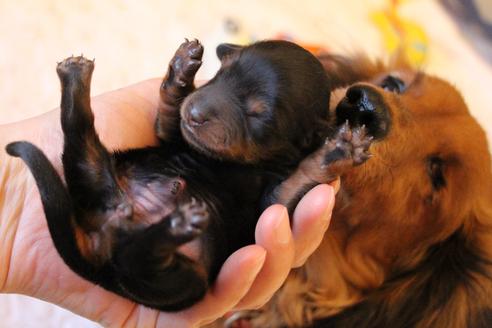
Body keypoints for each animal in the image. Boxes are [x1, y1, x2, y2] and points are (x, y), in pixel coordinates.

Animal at [4, 40, 376, 310]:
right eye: (220, 74)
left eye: (258, 115)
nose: (196, 113)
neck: (227, 161)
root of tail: (102, 254)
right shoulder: (173, 136)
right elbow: (169, 117)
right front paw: (181, 70)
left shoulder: (270, 205)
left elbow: (288, 190)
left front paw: (335, 154)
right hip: (97, 177)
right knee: (79, 138)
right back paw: (76, 79)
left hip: (182, 283)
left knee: (139, 262)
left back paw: (175, 226)